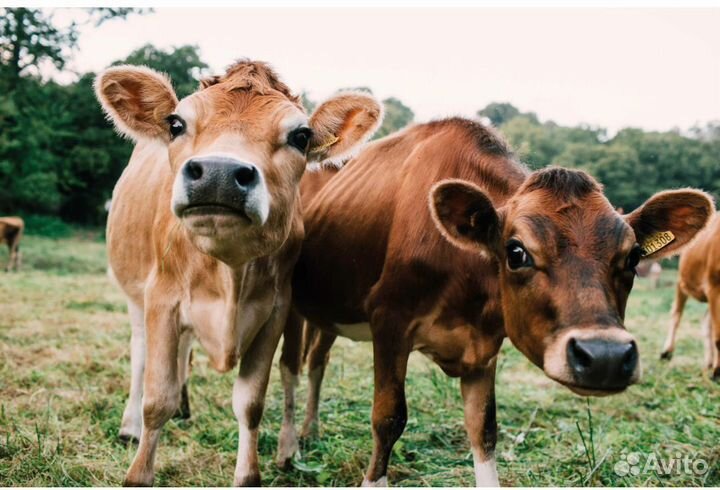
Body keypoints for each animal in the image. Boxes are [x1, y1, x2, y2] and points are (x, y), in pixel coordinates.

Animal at [94, 60, 382, 486]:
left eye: (300, 136)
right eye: (176, 123)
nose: (218, 173)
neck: (227, 273)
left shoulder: (274, 313)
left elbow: (250, 404)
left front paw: (249, 473)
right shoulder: (161, 300)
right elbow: (157, 399)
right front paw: (138, 472)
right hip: (135, 295)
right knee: (140, 354)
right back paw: (131, 426)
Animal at [660, 213, 720, 378]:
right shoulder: (714, 285)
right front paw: (717, 372)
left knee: (706, 322)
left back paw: (709, 363)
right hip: (682, 282)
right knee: (676, 314)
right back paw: (667, 352)